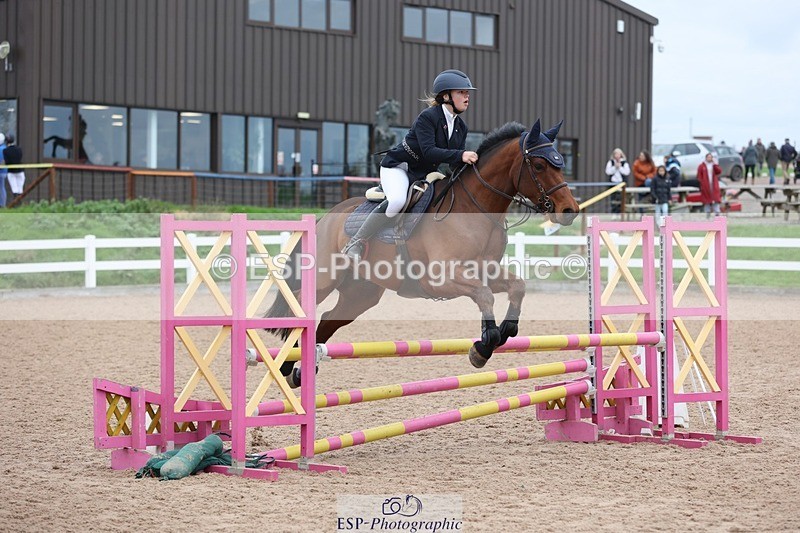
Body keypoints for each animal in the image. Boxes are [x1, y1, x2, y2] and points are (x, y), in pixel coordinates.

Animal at [267, 118, 580, 385]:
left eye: (560, 164)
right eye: (538, 165)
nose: (570, 211)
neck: (475, 208)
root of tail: (326, 218)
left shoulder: (485, 270)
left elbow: (517, 286)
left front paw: (500, 335)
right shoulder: (440, 278)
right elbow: (484, 294)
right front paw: (485, 343)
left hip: (360, 295)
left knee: (327, 320)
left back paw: (297, 371)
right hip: (325, 280)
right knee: (302, 307)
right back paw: (289, 364)